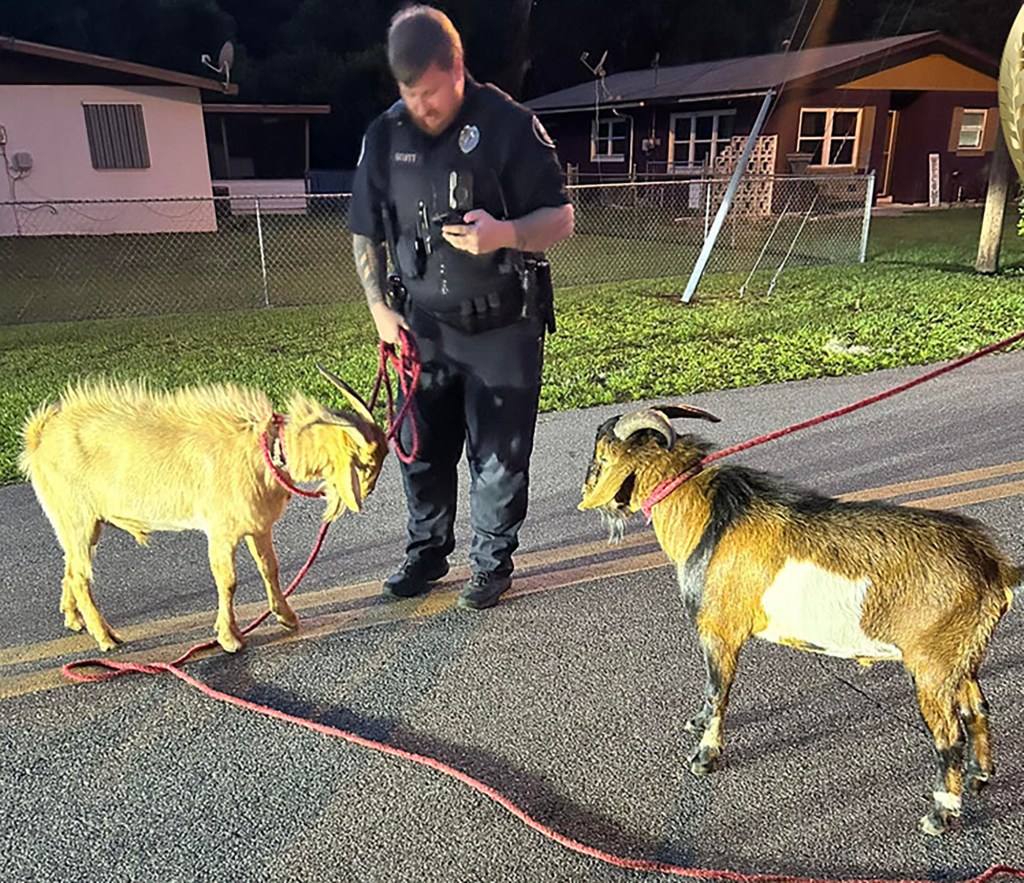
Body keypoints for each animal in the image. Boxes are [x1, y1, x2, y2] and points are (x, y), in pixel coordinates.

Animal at [19, 366, 387, 655]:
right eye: (365, 460)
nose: (370, 491)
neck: (265, 450)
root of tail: (38, 438)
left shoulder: (257, 527)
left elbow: (270, 568)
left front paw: (287, 617)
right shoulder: (221, 530)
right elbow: (228, 581)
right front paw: (230, 638)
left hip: (83, 522)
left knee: (70, 567)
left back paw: (74, 618)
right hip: (77, 517)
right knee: (80, 576)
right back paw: (106, 637)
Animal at [581, 407, 1019, 835]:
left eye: (599, 455)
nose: (584, 492)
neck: (709, 518)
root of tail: (993, 567)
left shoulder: (719, 630)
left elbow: (717, 690)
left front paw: (705, 756)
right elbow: (710, 692)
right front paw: (697, 723)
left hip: (932, 664)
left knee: (948, 735)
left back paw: (940, 814)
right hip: (964, 658)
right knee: (977, 709)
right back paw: (978, 777)